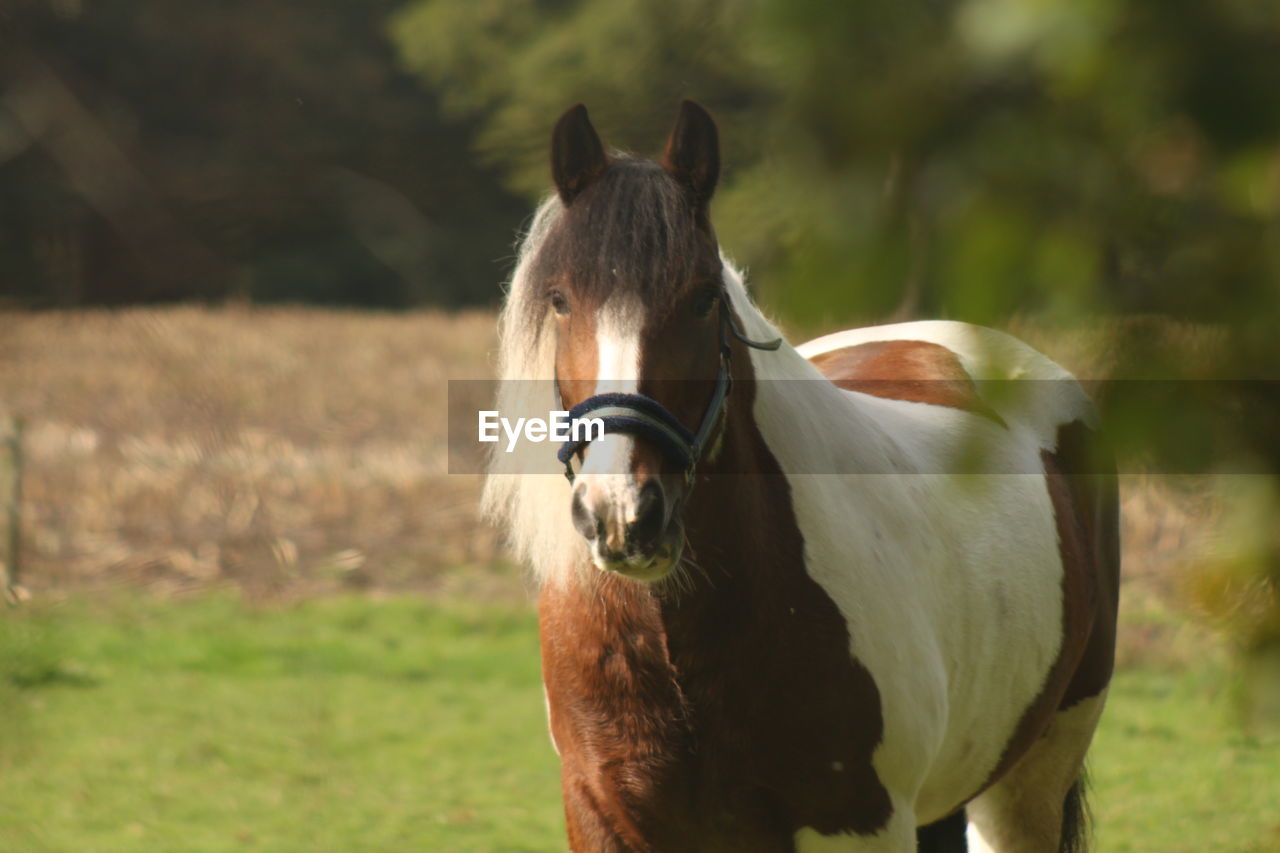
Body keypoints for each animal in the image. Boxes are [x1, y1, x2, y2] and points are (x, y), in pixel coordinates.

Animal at [483, 101, 1116, 850]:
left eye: (704, 299)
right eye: (559, 300)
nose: (623, 515)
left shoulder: (860, 823)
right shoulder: (603, 816)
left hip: (1028, 783)